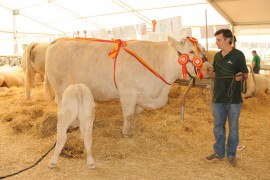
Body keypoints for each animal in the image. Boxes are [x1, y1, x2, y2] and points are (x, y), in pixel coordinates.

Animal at [44, 37, 209, 138]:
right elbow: (128, 114)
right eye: (191, 51)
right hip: (60, 86)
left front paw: (133, 127)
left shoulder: (141, 96)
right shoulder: (127, 92)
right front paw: (126, 133)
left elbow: (136, 113)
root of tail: (59, 41)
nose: (209, 68)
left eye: (203, 50)